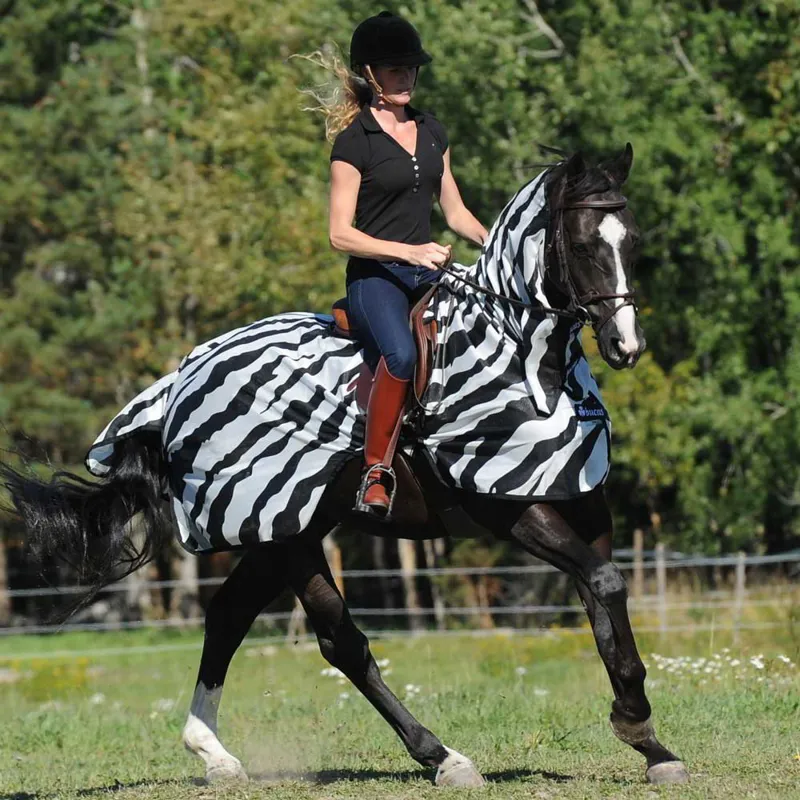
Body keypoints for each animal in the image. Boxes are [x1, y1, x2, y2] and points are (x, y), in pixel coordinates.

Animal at [3, 144, 689, 786]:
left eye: (632, 240)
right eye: (583, 243)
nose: (627, 346)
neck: (525, 361)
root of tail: (179, 382)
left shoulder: (582, 502)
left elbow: (604, 599)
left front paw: (650, 744)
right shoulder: (507, 508)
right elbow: (604, 584)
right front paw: (635, 723)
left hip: (283, 527)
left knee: (228, 616)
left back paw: (214, 755)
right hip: (288, 535)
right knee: (341, 642)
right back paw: (442, 757)